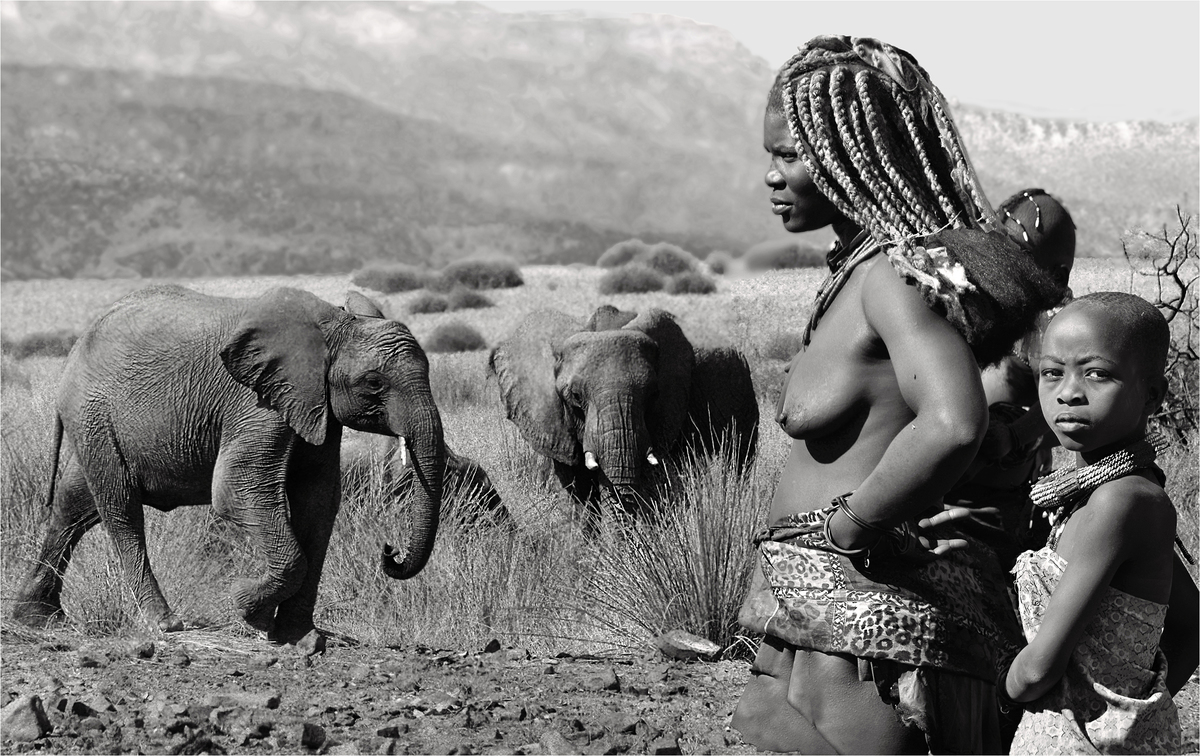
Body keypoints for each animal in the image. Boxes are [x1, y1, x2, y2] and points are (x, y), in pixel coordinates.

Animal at [11, 285, 445, 643]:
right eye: (374, 383)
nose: (390, 551)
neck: (334, 326)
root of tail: (76, 346)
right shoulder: (256, 402)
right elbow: (237, 490)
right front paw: (246, 608)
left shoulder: (315, 406)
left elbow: (319, 503)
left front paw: (300, 639)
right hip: (95, 415)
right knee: (120, 509)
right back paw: (164, 623)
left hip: (95, 423)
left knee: (73, 505)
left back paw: (37, 619)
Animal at [488, 305, 758, 529]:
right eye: (575, 396)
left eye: (653, 393)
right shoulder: (554, 422)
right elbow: (579, 496)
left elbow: (653, 489)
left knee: (737, 463)